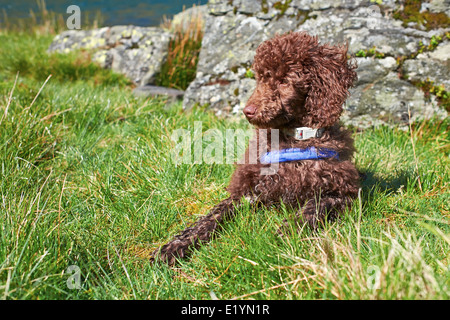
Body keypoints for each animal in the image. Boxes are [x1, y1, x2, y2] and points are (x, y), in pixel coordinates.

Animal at [153, 31, 360, 264]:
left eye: (284, 80)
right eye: (260, 78)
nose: (248, 111)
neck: (293, 140)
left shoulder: (342, 193)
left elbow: (314, 209)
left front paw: (288, 231)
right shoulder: (247, 192)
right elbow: (211, 216)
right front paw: (175, 245)